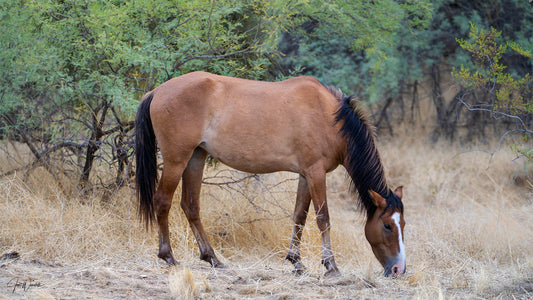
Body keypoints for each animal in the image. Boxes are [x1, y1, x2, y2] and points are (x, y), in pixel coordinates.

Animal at [135, 71, 406, 278]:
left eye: (402, 223)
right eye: (387, 226)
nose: (398, 269)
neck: (330, 118)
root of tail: (156, 92)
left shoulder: (306, 175)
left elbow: (299, 216)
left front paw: (296, 261)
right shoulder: (316, 173)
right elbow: (323, 218)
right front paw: (331, 266)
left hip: (195, 157)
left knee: (190, 206)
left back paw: (212, 258)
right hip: (176, 160)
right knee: (163, 201)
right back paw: (168, 256)